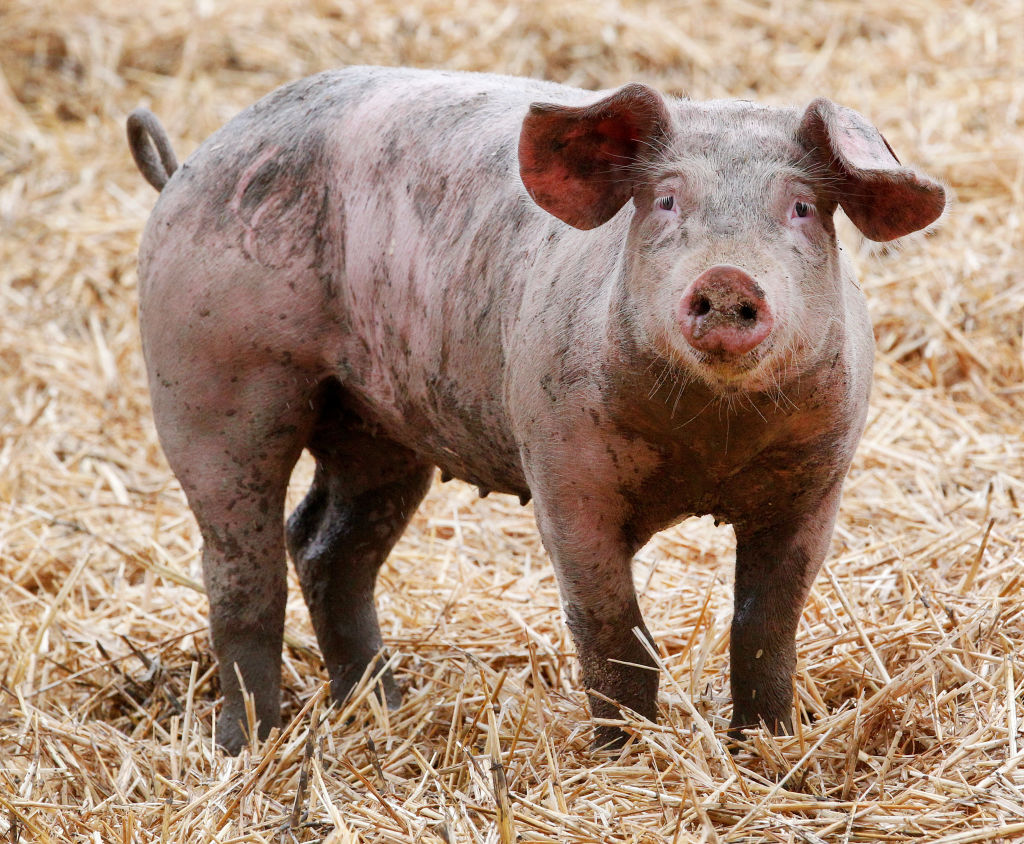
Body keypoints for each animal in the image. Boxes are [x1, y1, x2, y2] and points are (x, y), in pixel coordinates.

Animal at [128, 66, 942, 749]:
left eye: (802, 208)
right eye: (667, 201)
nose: (727, 277)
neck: (709, 439)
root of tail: (188, 167)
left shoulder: (817, 481)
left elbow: (767, 631)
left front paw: (766, 750)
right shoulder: (563, 471)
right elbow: (613, 636)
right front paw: (622, 757)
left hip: (376, 427)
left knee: (329, 549)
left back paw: (383, 710)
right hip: (210, 383)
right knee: (242, 571)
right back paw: (251, 744)